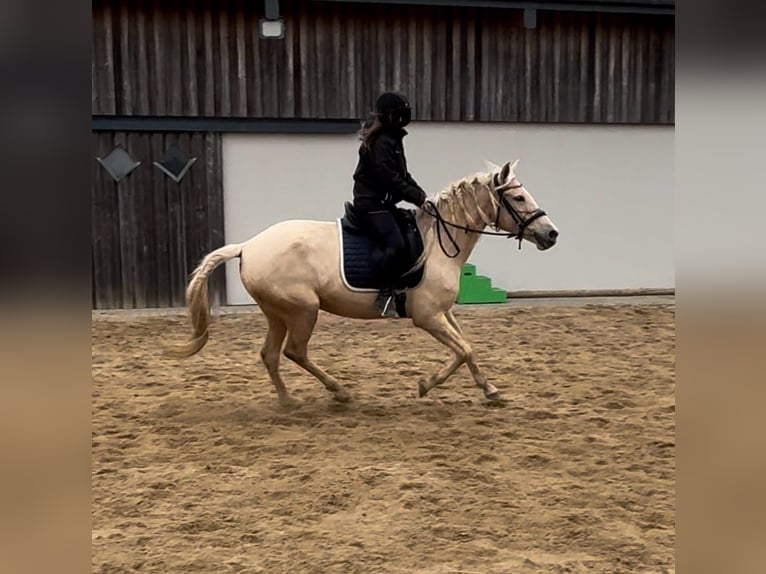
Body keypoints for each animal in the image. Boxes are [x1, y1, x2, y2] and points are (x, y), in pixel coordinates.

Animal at [168, 160, 560, 408]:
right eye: (519, 197)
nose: (551, 234)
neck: (437, 243)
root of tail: (248, 246)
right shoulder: (427, 317)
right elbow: (463, 350)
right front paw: (427, 385)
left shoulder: (443, 313)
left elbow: (467, 349)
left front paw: (490, 390)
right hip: (302, 311)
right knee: (294, 352)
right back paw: (339, 392)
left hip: (277, 314)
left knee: (270, 355)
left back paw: (288, 400)